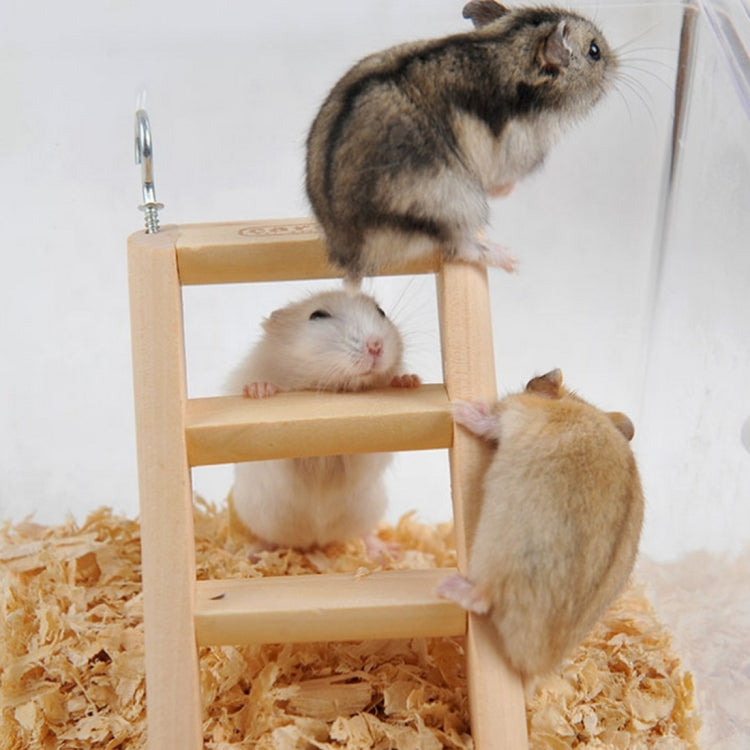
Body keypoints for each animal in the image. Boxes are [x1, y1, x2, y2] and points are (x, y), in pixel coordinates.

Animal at [226, 288, 420, 550]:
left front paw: (408, 380)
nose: (376, 345)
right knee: (269, 539)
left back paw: (386, 550)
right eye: (318, 315)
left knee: (364, 534)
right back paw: (253, 552)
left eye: (381, 312)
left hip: (369, 508)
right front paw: (259, 390)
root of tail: (316, 540)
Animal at [306, 1, 618, 280]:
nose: (617, 63)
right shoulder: (519, 153)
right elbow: (505, 182)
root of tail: (351, 258)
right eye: (595, 51)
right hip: (455, 207)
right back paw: (509, 259)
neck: (509, 46)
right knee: (461, 249)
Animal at [437, 369, 643, 679]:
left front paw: (462, 409)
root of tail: (536, 663)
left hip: (499, 556)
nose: (536, 379)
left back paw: (447, 586)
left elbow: (491, 421)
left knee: (482, 599)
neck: (579, 406)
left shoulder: (514, 412)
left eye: (531, 382)